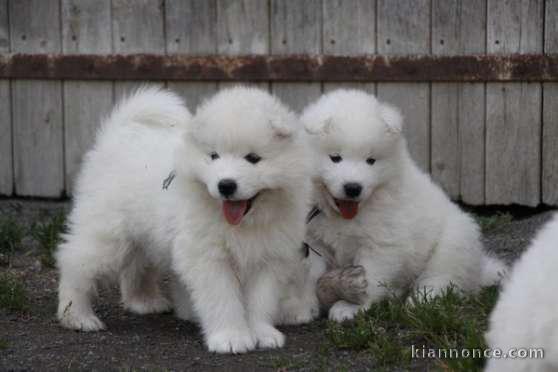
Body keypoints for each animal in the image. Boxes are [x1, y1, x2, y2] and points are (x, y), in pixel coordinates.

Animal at [58, 85, 320, 354]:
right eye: (214, 156)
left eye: (253, 158)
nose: (226, 185)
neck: (244, 223)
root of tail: (116, 135)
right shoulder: (208, 257)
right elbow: (222, 298)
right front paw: (230, 337)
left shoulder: (268, 257)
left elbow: (261, 300)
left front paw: (261, 333)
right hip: (108, 233)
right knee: (75, 263)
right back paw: (77, 316)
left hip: (145, 235)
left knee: (136, 266)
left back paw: (144, 301)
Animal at [302, 90, 508, 322]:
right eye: (335, 158)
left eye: (371, 161)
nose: (353, 187)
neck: (347, 216)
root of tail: (479, 271)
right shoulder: (314, 241)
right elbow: (310, 274)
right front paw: (307, 307)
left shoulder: (381, 244)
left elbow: (369, 277)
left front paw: (350, 306)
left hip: (452, 244)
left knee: (443, 278)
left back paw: (422, 300)